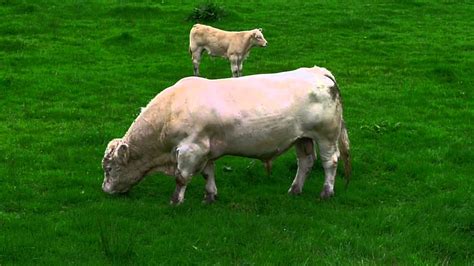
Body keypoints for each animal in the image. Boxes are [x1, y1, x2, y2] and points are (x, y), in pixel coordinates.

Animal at [102, 66, 350, 204]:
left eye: (109, 168)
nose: (105, 190)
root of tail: (319, 71)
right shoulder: (205, 149)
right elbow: (207, 173)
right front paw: (209, 196)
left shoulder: (191, 149)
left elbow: (181, 177)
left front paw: (175, 201)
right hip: (302, 138)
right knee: (306, 162)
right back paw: (294, 190)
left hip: (326, 135)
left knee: (330, 162)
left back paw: (326, 192)